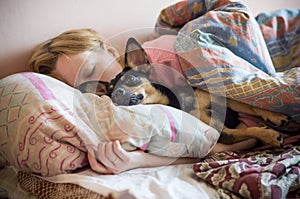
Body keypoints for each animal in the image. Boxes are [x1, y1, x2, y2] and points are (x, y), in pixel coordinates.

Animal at [79, 37, 292, 147]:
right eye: (110, 94)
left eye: (130, 79)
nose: (118, 94)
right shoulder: (222, 132)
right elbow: (249, 130)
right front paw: (269, 135)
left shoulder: (217, 95)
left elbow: (249, 105)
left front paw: (273, 115)